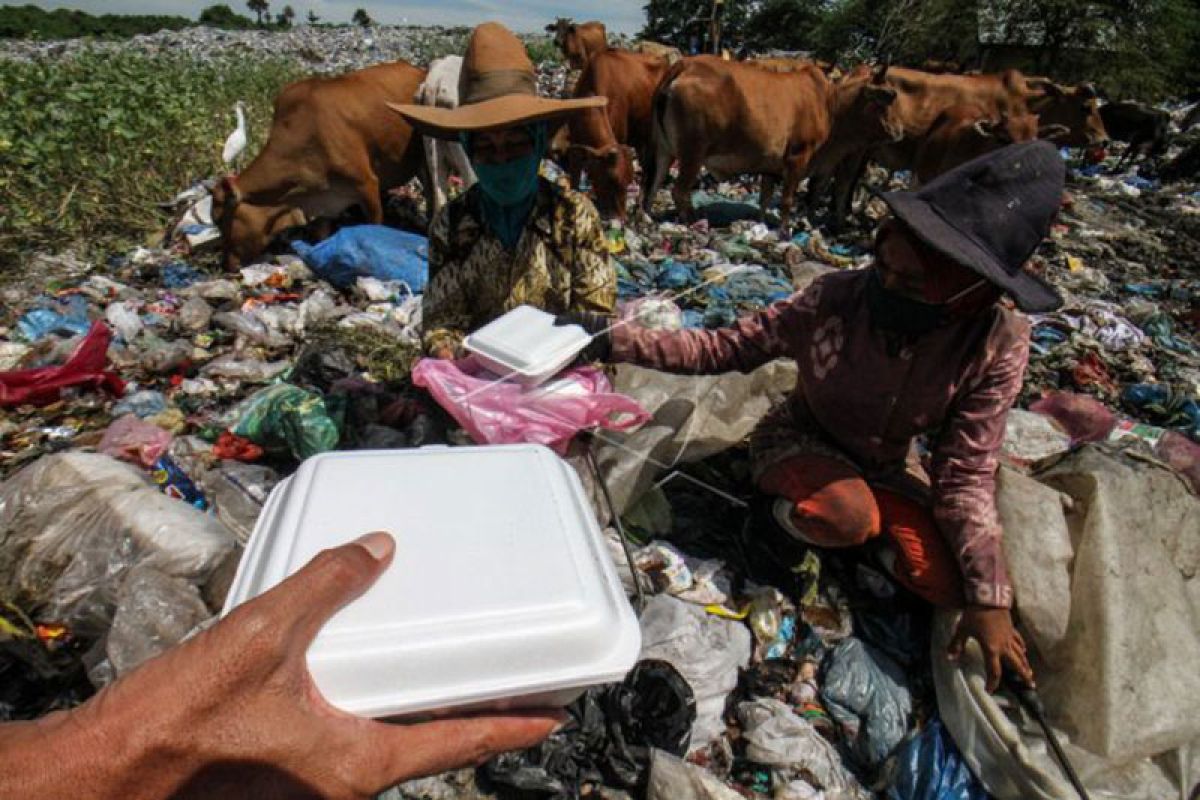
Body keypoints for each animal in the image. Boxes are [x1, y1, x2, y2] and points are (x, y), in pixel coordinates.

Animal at [211, 60, 427, 272]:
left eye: (219, 219)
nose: (225, 265)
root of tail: (414, 68)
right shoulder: (323, 204)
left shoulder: (367, 184)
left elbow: (375, 226)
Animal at [564, 48, 672, 220]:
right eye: (611, 179)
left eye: (628, 181)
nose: (622, 218)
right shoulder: (575, 147)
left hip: (651, 138)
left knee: (649, 171)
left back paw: (640, 207)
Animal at [648, 55, 902, 231]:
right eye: (888, 96)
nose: (899, 131)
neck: (831, 107)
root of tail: (684, 64)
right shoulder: (798, 157)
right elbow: (787, 200)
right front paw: (784, 233)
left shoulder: (770, 167)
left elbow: (765, 199)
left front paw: (761, 225)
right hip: (693, 153)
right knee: (679, 192)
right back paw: (694, 225)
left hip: (663, 149)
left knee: (653, 184)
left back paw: (646, 219)